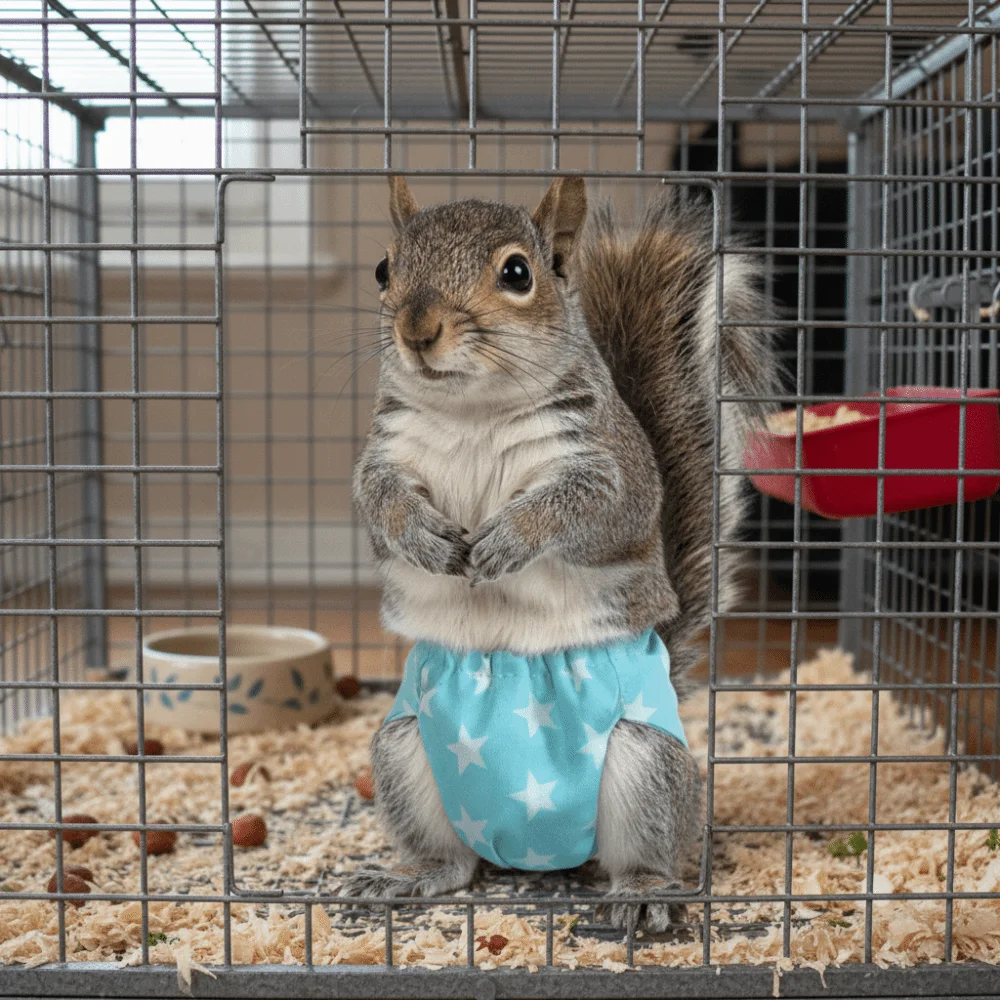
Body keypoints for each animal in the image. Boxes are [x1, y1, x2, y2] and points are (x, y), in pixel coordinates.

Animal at [340, 176, 777, 933]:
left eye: (518, 273)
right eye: (383, 269)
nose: (418, 330)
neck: (474, 411)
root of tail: (530, 852)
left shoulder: (610, 472)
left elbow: (584, 512)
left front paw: (511, 538)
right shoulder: (385, 457)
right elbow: (381, 506)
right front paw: (423, 536)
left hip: (644, 759)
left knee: (644, 850)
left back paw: (641, 893)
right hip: (402, 750)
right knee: (454, 862)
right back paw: (413, 878)